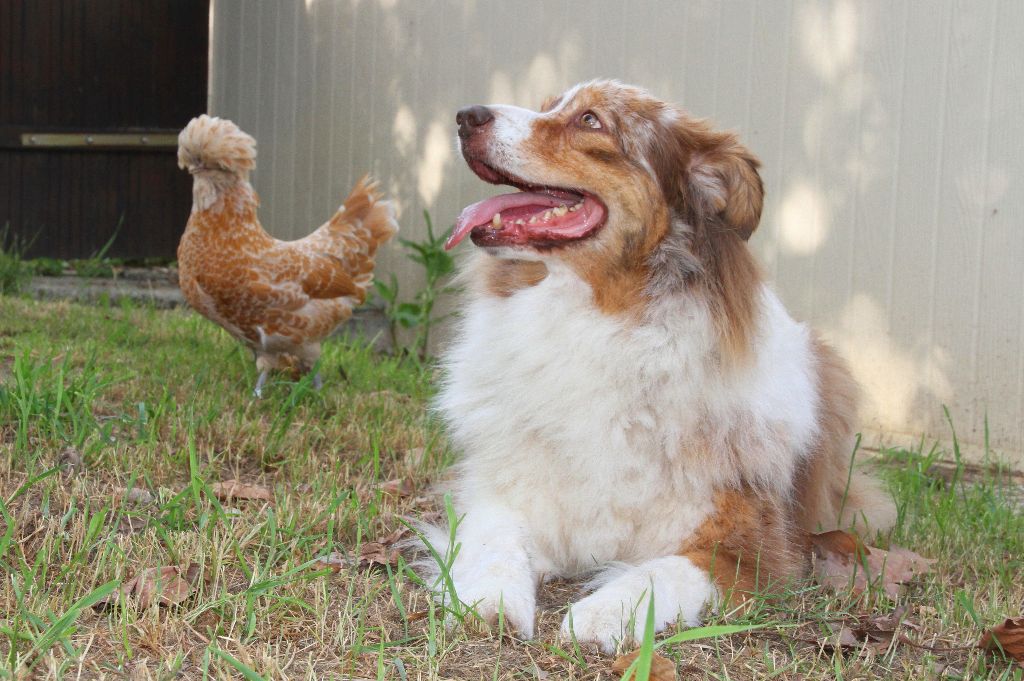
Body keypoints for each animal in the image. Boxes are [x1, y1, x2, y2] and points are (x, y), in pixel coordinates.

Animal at [428, 79, 892, 655]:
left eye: (590, 120)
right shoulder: (502, 497)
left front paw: (598, 616)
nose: (465, 116)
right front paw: (487, 602)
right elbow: (495, 547)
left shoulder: (748, 550)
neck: (602, 326)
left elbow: (659, 574)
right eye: (547, 105)